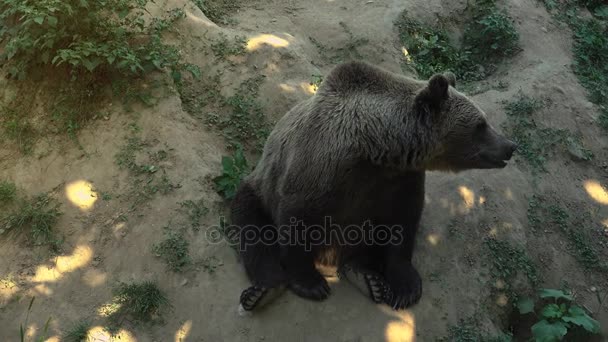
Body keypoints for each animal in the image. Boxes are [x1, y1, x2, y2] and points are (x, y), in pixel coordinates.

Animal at [230, 60, 516, 312]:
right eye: (480, 124)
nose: (510, 146)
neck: (374, 148)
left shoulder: (398, 180)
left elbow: (402, 224)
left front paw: (406, 287)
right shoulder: (318, 169)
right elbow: (295, 218)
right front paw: (310, 283)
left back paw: (368, 278)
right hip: (259, 187)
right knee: (251, 225)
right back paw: (264, 289)